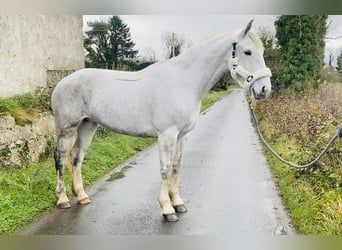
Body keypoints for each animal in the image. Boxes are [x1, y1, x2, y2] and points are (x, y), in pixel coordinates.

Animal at [51, 20, 272, 222]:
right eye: (247, 52)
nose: (264, 89)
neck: (183, 82)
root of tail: (62, 83)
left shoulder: (182, 136)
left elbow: (176, 167)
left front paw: (178, 203)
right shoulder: (167, 135)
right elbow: (165, 170)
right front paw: (167, 208)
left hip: (88, 125)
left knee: (77, 157)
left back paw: (82, 196)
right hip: (67, 129)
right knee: (61, 159)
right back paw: (62, 199)